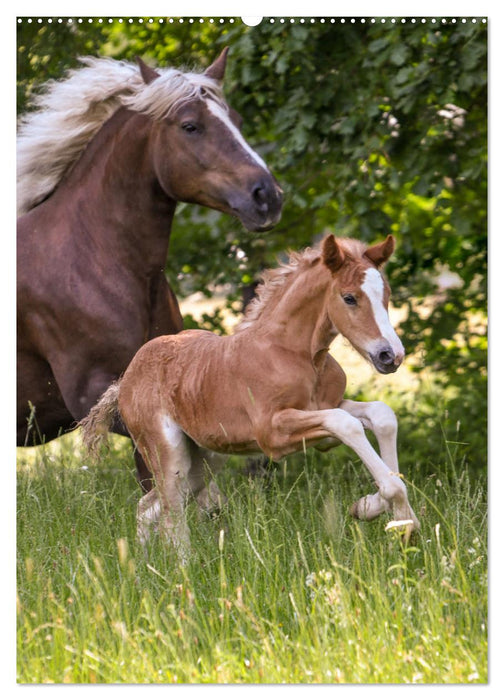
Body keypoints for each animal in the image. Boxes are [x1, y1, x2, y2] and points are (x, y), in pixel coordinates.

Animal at [81, 234, 422, 552]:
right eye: (349, 297)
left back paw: (143, 564)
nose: (390, 355)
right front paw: (400, 516)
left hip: (205, 461)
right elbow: (345, 424)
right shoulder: (272, 434)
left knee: (147, 508)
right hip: (168, 454)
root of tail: (126, 379)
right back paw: (183, 569)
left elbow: (381, 415)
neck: (295, 354)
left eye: (387, 295)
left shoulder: (326, 409)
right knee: (171, 521)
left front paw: (374, 509)